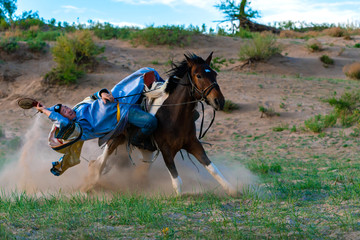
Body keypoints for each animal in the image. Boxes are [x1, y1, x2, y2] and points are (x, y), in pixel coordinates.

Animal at [84, 52, 236, 195]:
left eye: (215, 74)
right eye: (198, 75)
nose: (219, 101)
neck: (174, 115)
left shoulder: (193, 143)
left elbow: (211, 167)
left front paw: (231, 189)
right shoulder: (165, 149)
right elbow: (176, 177)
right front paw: (180, 195)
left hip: (145, 150)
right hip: (115, 139)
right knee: (100, 163)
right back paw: (90, 185)